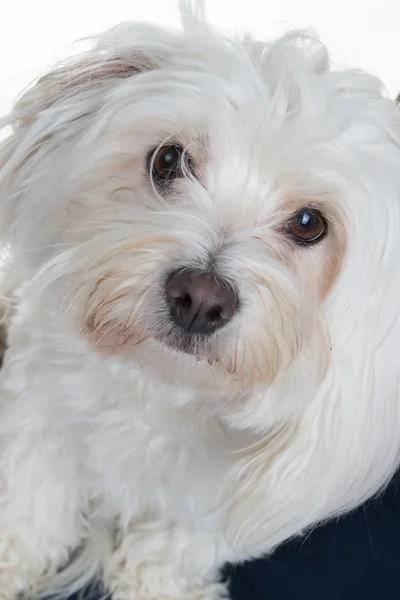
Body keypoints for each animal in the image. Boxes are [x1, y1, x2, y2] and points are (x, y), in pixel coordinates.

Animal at [0, 4, 400, 600]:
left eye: (310, 223)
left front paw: (157, 583)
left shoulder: (216, 502)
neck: (159, 386)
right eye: (169, 159)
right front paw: (13, 561)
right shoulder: (36, 415)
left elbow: (179, 541)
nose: (200, 299)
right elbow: (31, 501)